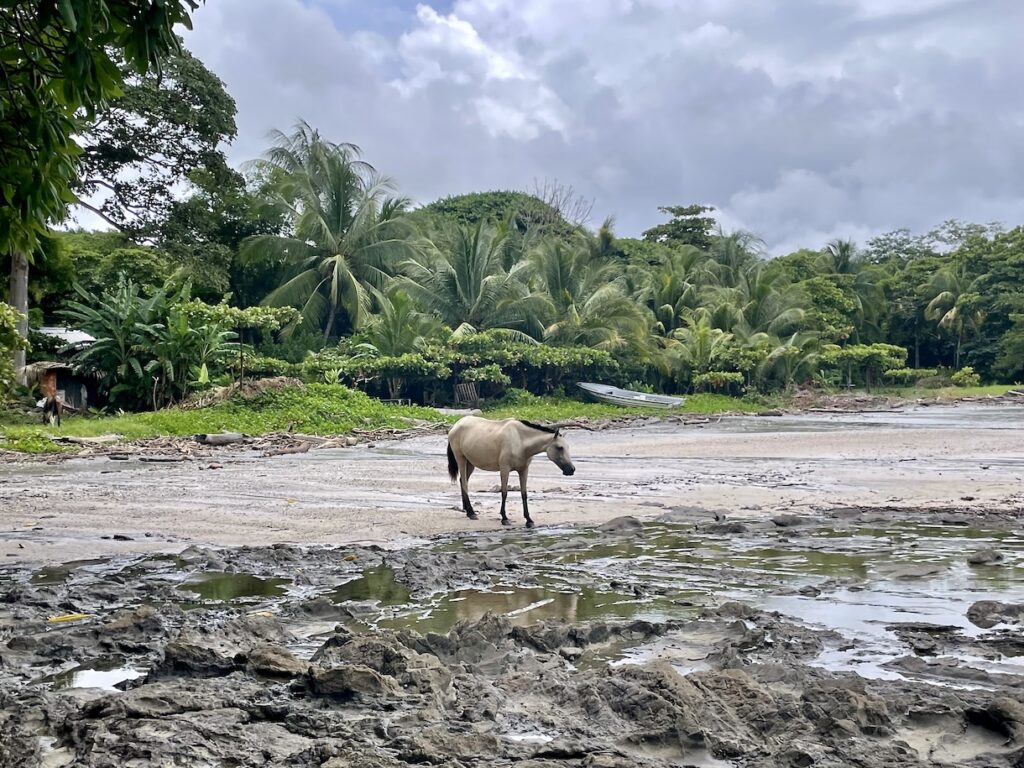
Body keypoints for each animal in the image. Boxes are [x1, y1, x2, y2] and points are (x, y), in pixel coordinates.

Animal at [446, 415, 577, 528]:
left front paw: (529, 520)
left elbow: (524, 494)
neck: (520, 441)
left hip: (470, 463)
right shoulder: (505, 469)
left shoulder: (524, 470)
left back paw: (466, 509)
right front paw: (504, 518)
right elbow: (504, 492)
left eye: (567, 447)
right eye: (560, 448)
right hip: (461, 459)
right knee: (464, 483)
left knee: (463, 481)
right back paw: (471, 513)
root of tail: (456, 425)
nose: (571, 470)